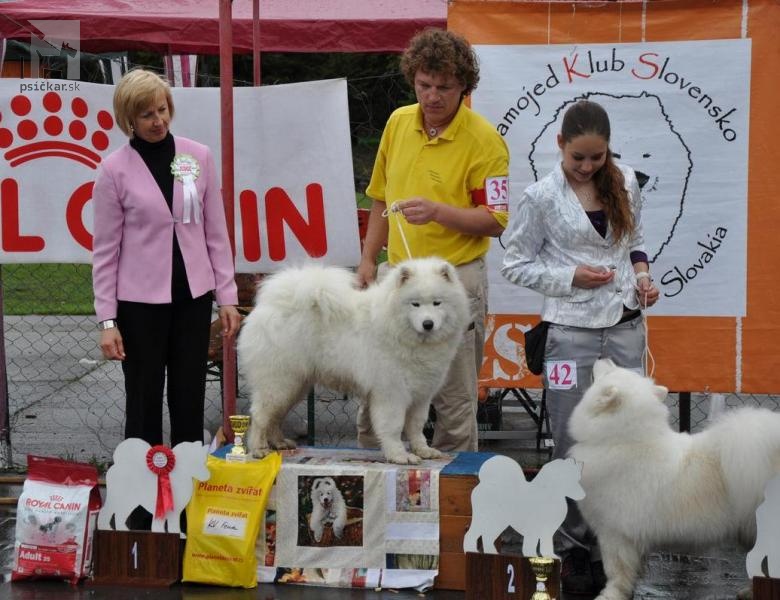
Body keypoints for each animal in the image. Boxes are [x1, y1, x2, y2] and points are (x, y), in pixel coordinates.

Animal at [238, 256, 470, 464]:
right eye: (415, 304)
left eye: (437, 303)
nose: (428, 324)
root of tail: (270, 305)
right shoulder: (391, 393)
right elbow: (393, 427)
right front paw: (399, 456)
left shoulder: (422, 394)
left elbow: (416, 427)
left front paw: (423, 451)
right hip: (279, 382)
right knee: (260, 415)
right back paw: (258, 449)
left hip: (295, 385)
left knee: (275, 417)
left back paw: (279, 443)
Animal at [568, 358, 780, 600]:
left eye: (608, 373)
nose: (603, 358)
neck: (622, 440)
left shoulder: (613, 533)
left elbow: (615, 570)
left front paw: (611, 594)